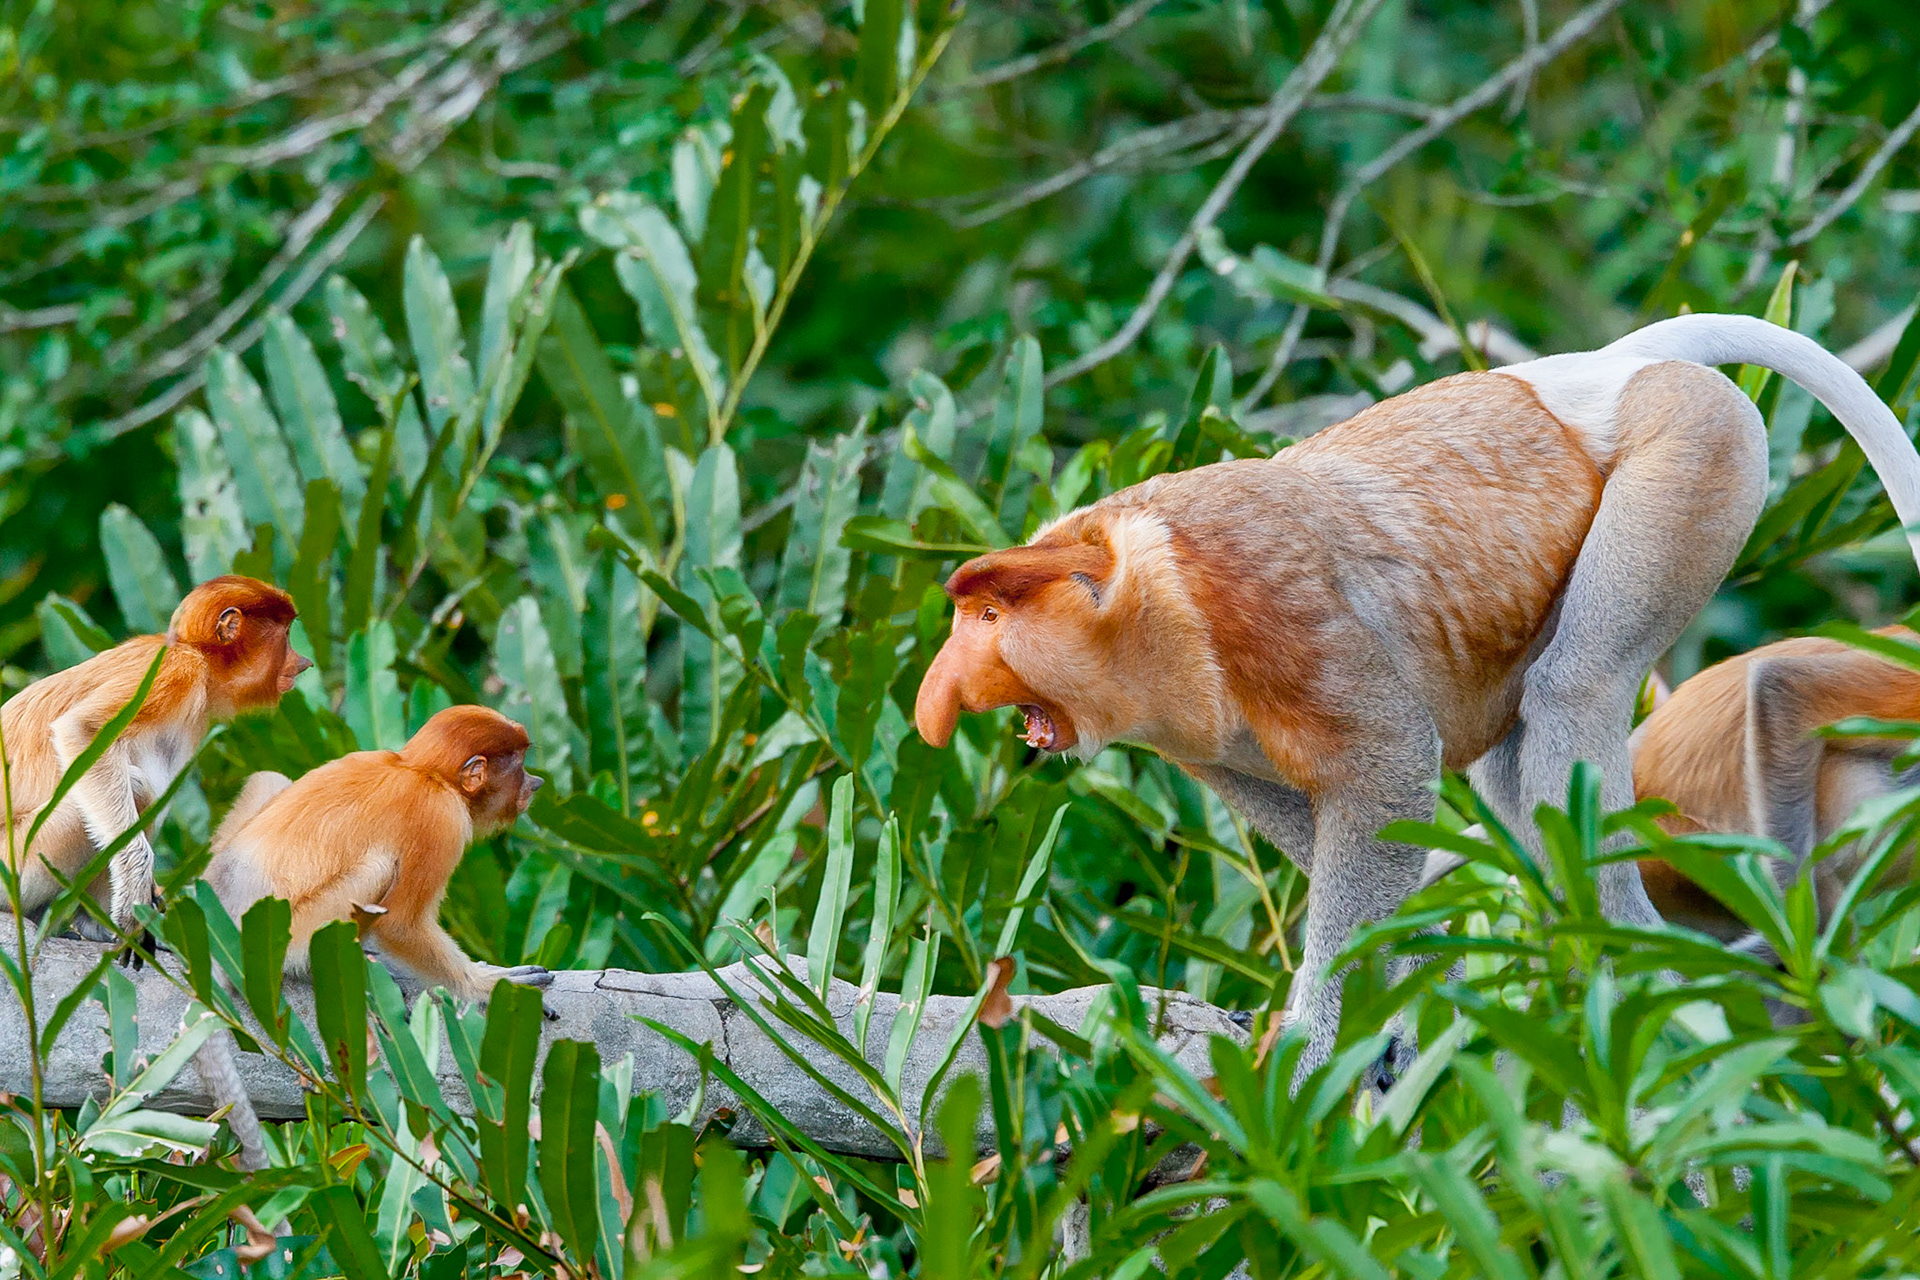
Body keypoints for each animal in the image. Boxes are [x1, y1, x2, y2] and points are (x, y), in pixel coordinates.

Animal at [0, 575, 309, 943]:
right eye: (286, 635)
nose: (303, 662)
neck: (197, 651)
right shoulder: (177, 670)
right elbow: (82, 731)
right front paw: (136, 891)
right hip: (17, 863)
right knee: (136, 786)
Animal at [193, 704, 553, 1169]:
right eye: (519, 764)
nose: (535, 783)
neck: (420, 769)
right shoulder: (441, 819)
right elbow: (401, 924)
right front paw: (486, 984)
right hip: (287, 933)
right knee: (379, 867)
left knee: (271, 779)